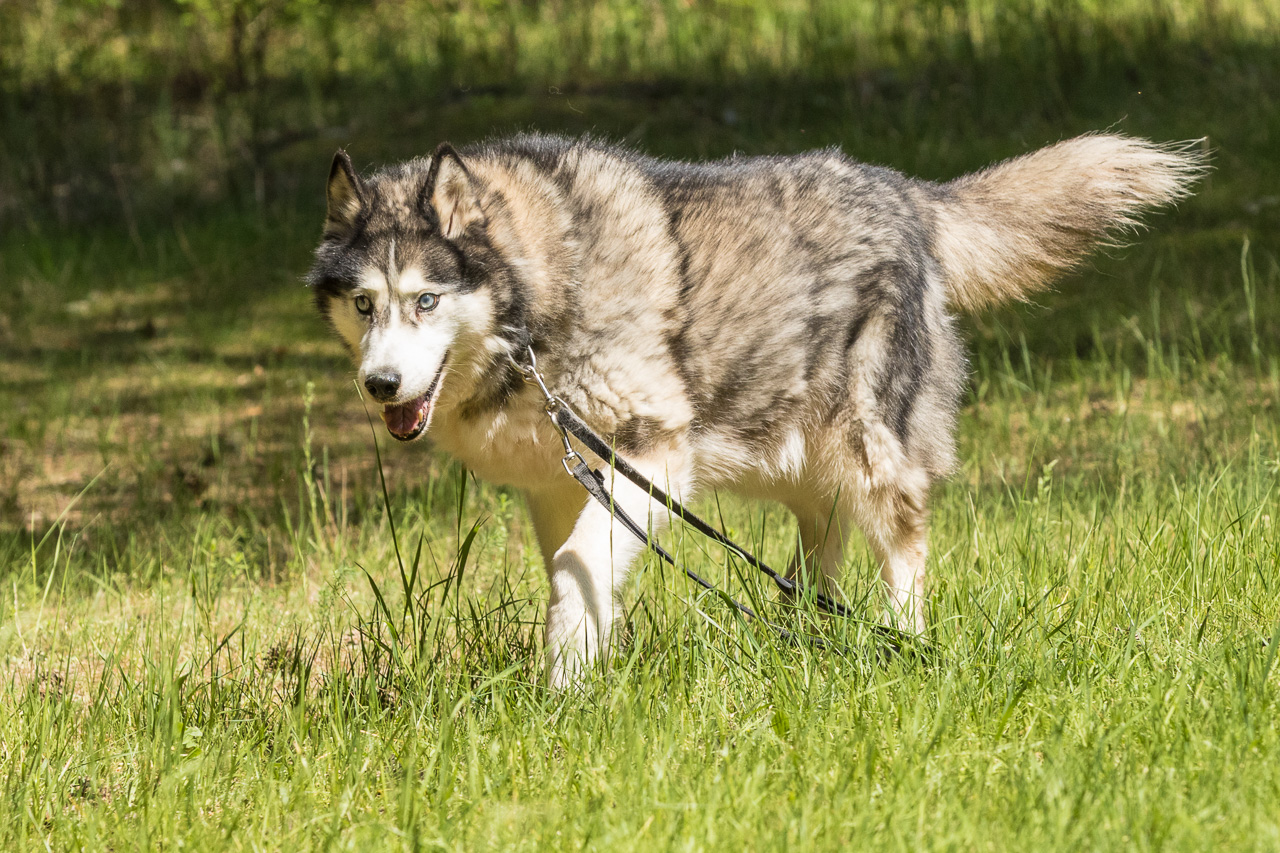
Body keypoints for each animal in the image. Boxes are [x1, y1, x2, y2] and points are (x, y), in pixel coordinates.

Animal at [308, 132, 1202, 688]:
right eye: (364, 304)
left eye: (426, 300)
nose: (380, 384)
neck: (535, 302)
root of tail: (902, 192)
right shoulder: (562, 483)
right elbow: (577, 572)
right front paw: (586, 669)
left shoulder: (653, 455)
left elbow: (577, 568)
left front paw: (561, 689)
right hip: (792, 459)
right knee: (819, 553)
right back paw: (806, 641)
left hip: (869, 451)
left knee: (903, 547)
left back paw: (900, 642)